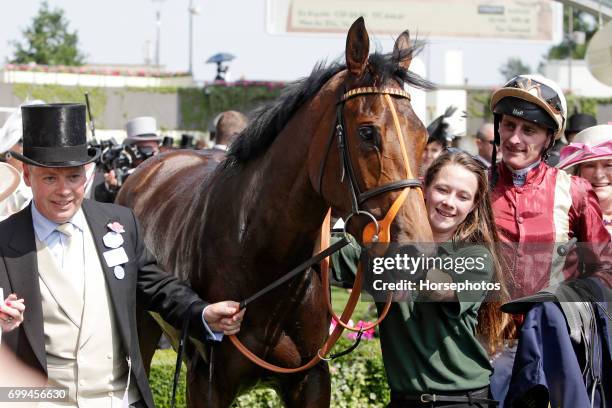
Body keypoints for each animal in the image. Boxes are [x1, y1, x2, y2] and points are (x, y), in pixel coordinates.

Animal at [119, 16, 432, 408]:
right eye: (367, 132)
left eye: (423, 136)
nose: (416, 251)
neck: (262, 256)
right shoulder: (205, 380)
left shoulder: (311, 378)